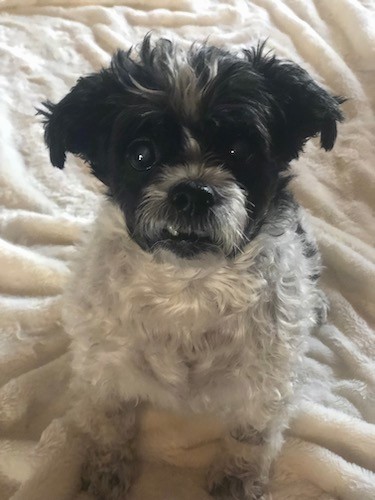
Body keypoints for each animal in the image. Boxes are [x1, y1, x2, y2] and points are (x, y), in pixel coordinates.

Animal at [39, 36, 346, 500]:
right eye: (141, 155)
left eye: (239, 150)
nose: (194, 192)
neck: (188, 288)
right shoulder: (104, 370)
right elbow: (108, 426)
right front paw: (105, 475)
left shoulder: (265, 383)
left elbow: (251, 436)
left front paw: (237, 481)